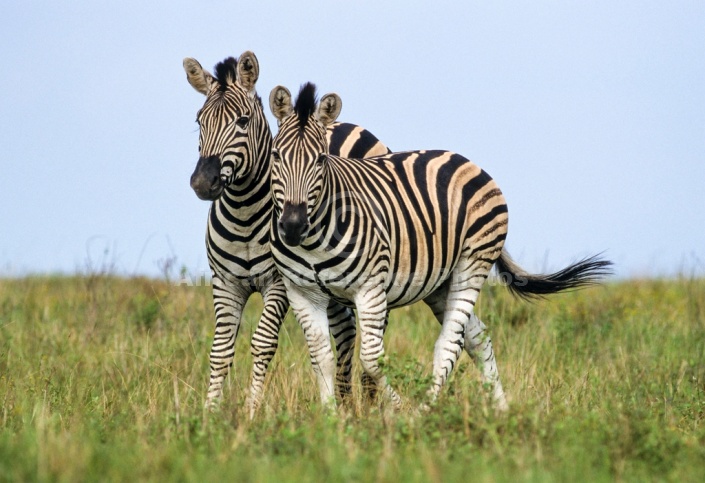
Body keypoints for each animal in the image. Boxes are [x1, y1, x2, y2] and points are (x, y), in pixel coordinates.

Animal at [182, 52, 390, 416]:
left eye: (243, 121)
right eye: (199, 120)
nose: (202, 183)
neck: (244, 213)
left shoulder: (279, 282)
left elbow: (263, 342)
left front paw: (251, 412)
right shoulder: (225, 281)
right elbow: (220, 349)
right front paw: (209, 414)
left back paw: (367, 396)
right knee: (346, 331)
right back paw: (346, 399)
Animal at [266, 83, 608, 412]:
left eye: (321, 160)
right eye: (276, 156)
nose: (293, 225)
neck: (314, 241)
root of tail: (465, 160)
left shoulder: (370, 288)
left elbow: (372, 359)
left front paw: (397, 409)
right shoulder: (302, 292)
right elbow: (321, 357)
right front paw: (331, 419)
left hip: (472, 262)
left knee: (449, 343)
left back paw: (423, 412)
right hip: (440, 281)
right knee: (477, 339)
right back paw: (501, 410)